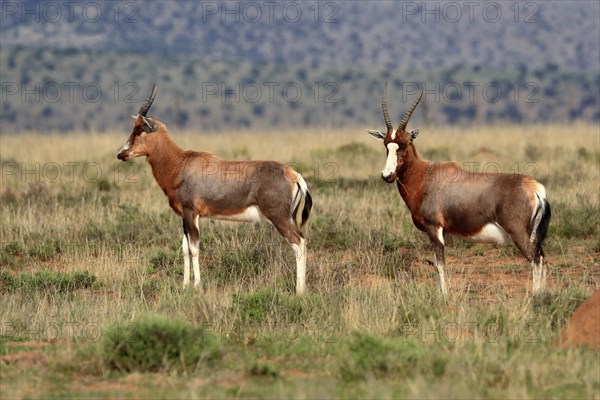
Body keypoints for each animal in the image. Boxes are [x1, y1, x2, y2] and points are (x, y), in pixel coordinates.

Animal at [118, 84, 314, 296]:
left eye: (139, 129)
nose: (121, 154)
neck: (182, 163)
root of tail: (294, 174)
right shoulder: (184, 216)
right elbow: (185, 248)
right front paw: (185, 285)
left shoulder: (191, 213)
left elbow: (194, 248)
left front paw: (197, 285)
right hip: (290, 218)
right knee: (303, 241)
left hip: (279, 218)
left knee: (298, 243)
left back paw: (299, 291)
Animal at [364, 84, 552, 296]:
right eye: (386, 145)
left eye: (403, 145)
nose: (387, 175)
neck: (425, 175)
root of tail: (535, 188)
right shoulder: (442, 231)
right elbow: (436, 263)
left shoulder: (434, 228)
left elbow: (441, 264)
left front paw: (444, 295)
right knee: (542, 258)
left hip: (518, 233)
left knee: (535, 259)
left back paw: (536, 296)